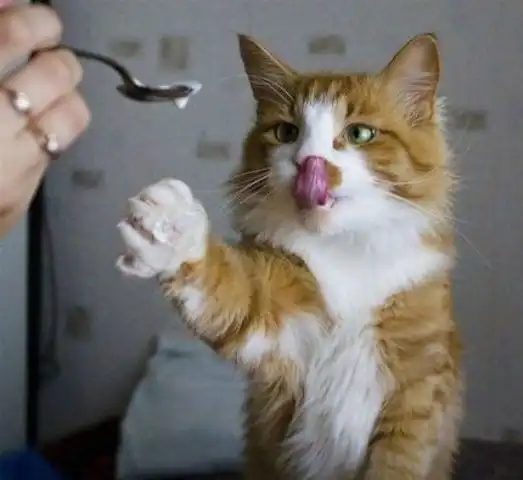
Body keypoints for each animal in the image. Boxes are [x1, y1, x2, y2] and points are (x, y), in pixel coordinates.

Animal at [116, 32, 462, 480]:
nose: (306, 164)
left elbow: (397, 464)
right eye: (286, 132)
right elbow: (227, 288)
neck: (347, 251)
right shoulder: (280, 326)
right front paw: (171, 228)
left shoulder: (416, 393)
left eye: (360, 134)